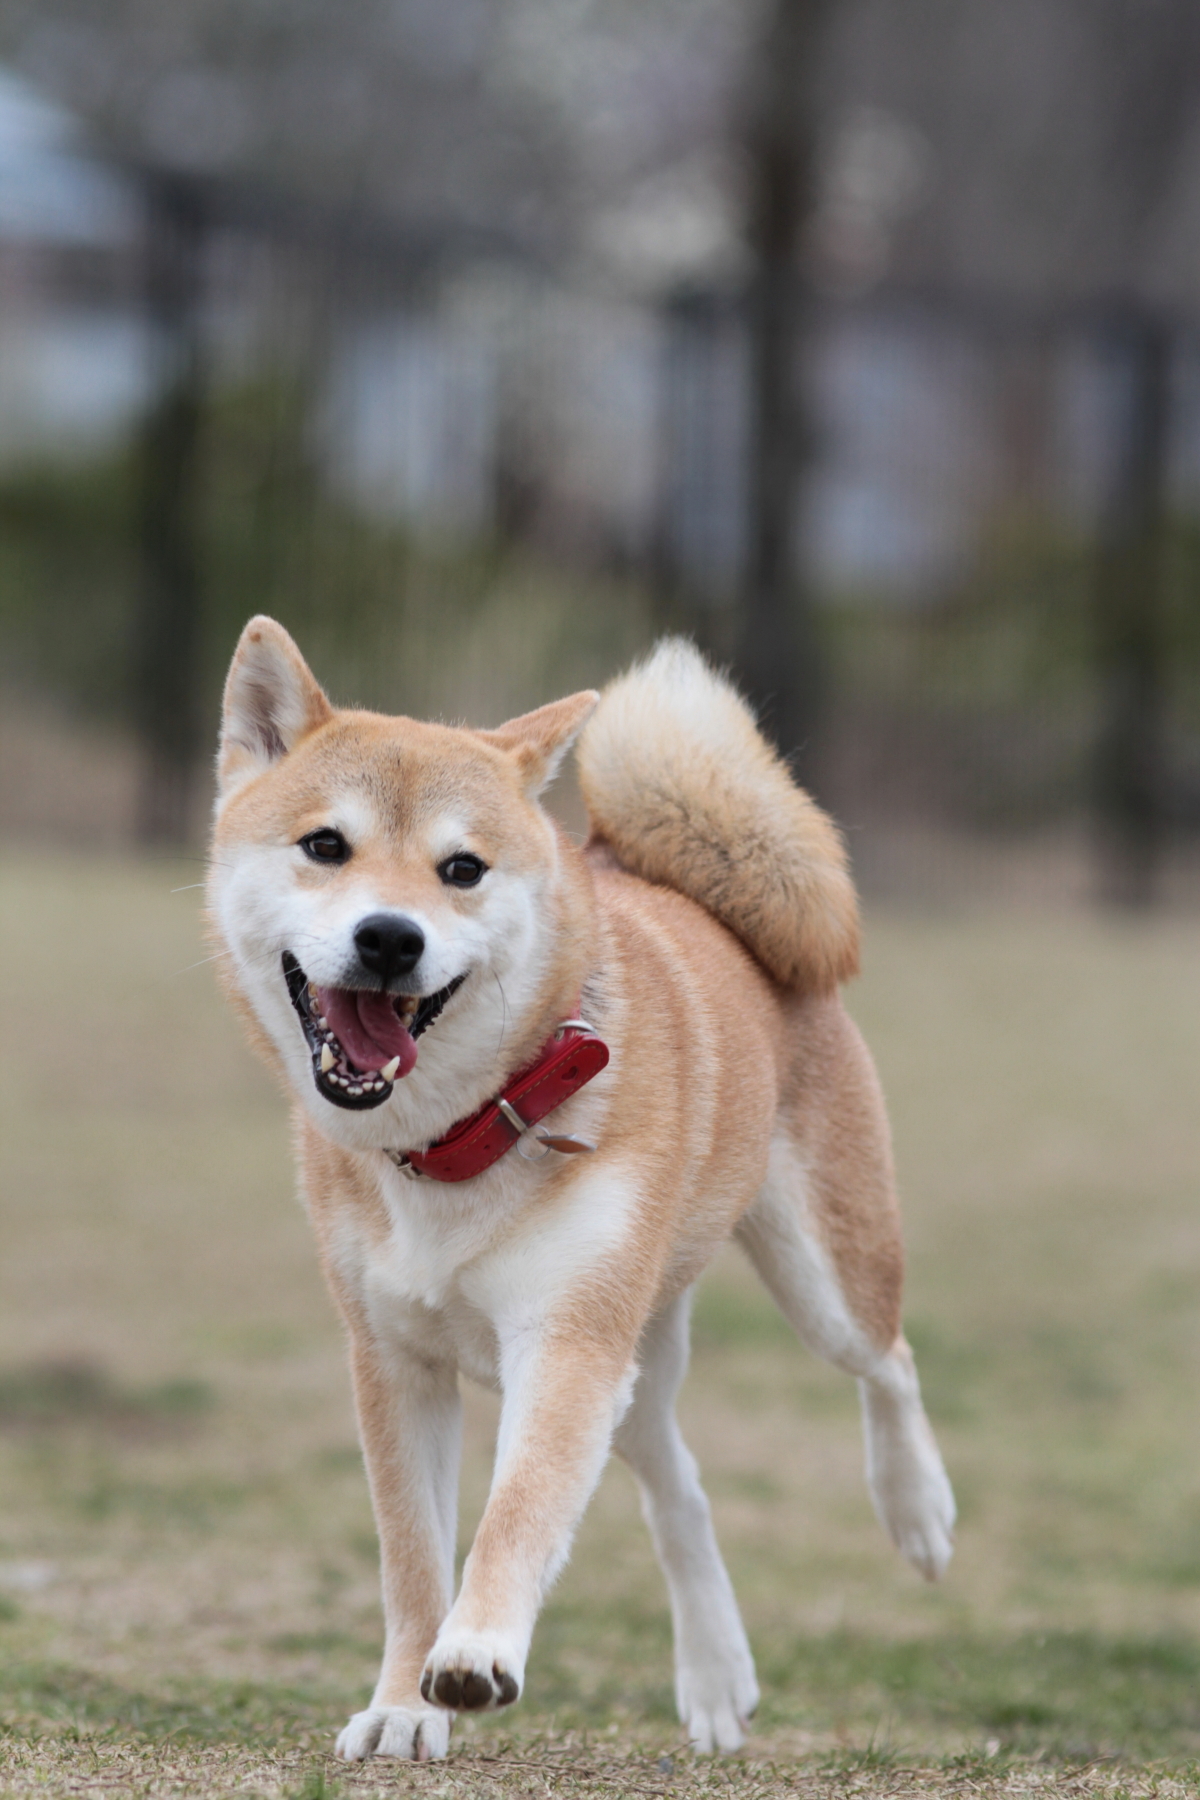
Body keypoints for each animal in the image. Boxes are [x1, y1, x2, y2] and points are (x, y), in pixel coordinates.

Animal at [208, 619, 957, 1756]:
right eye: (325, 846)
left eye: (462, 868)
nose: (390, 936)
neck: (456, 1139)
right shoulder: (396, 1364)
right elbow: (411, 1557)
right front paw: (402, 1708)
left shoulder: (564, 1346)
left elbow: (514, 1515)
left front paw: (473, 1655)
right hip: (637, 1364)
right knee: (681, 1488)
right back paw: (715, 1676)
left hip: (813, 1283)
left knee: (890, 1362)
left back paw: (916, 1510)